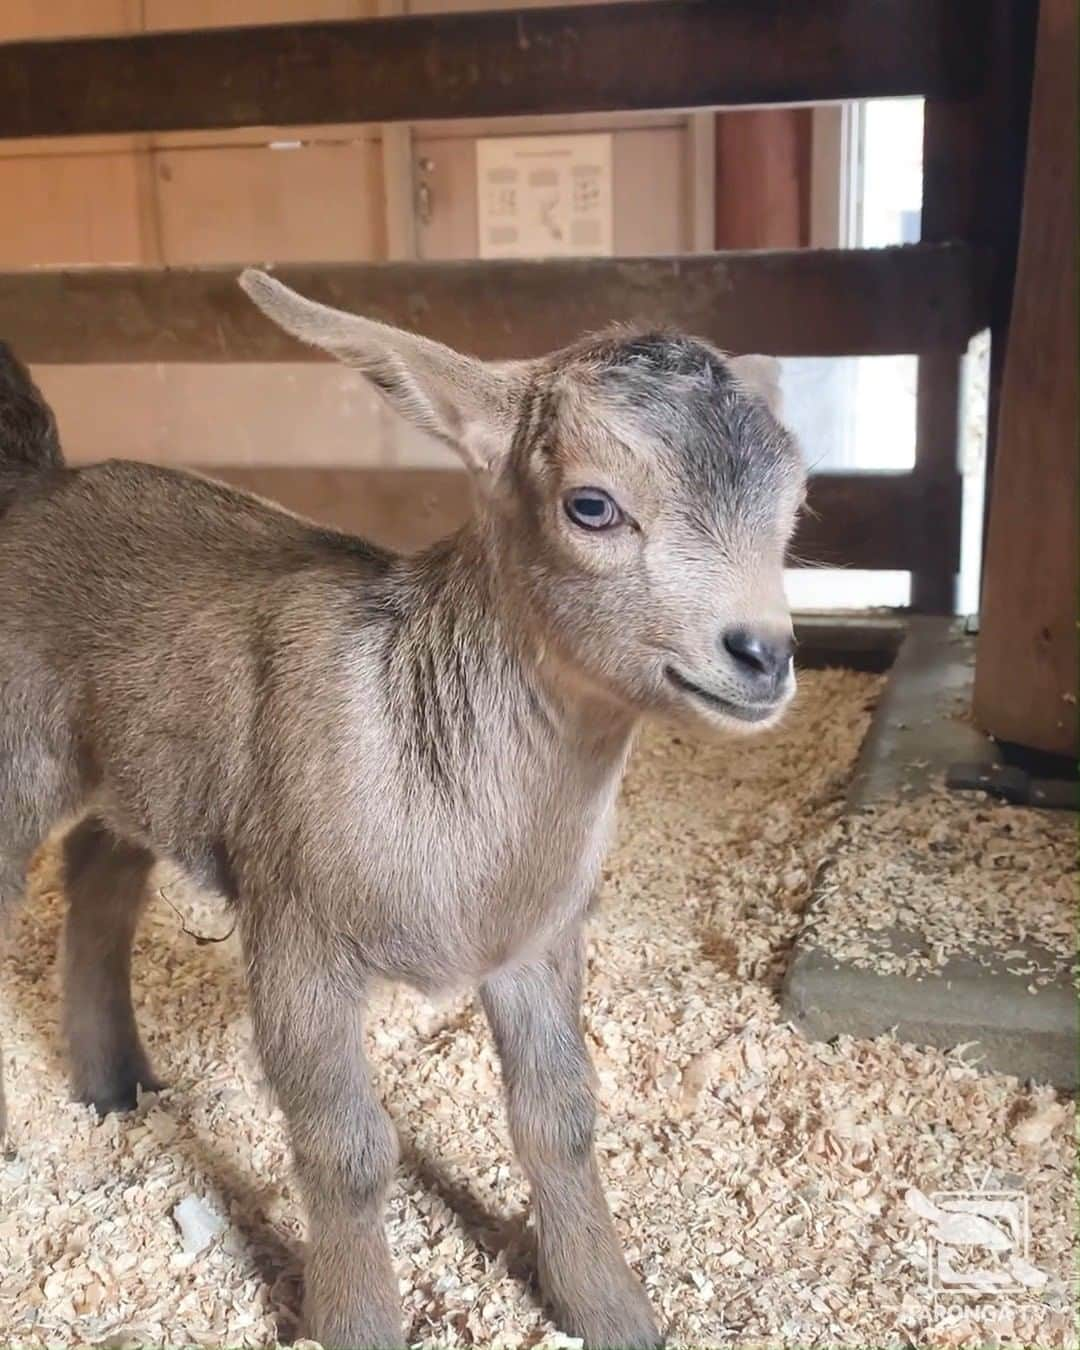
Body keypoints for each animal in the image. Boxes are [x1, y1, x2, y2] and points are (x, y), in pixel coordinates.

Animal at [0, 276, 804, 1350]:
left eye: (794, 505)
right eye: (592, 504)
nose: (765, 653)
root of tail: (39, 483)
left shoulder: (537, 940)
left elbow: (560, 1118)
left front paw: (608, 1305)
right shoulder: (295, 934)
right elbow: (347, 1149)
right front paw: (357, 1320)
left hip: (141, 763)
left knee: (100, 869)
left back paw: (112, 1083)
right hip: (20, 750)